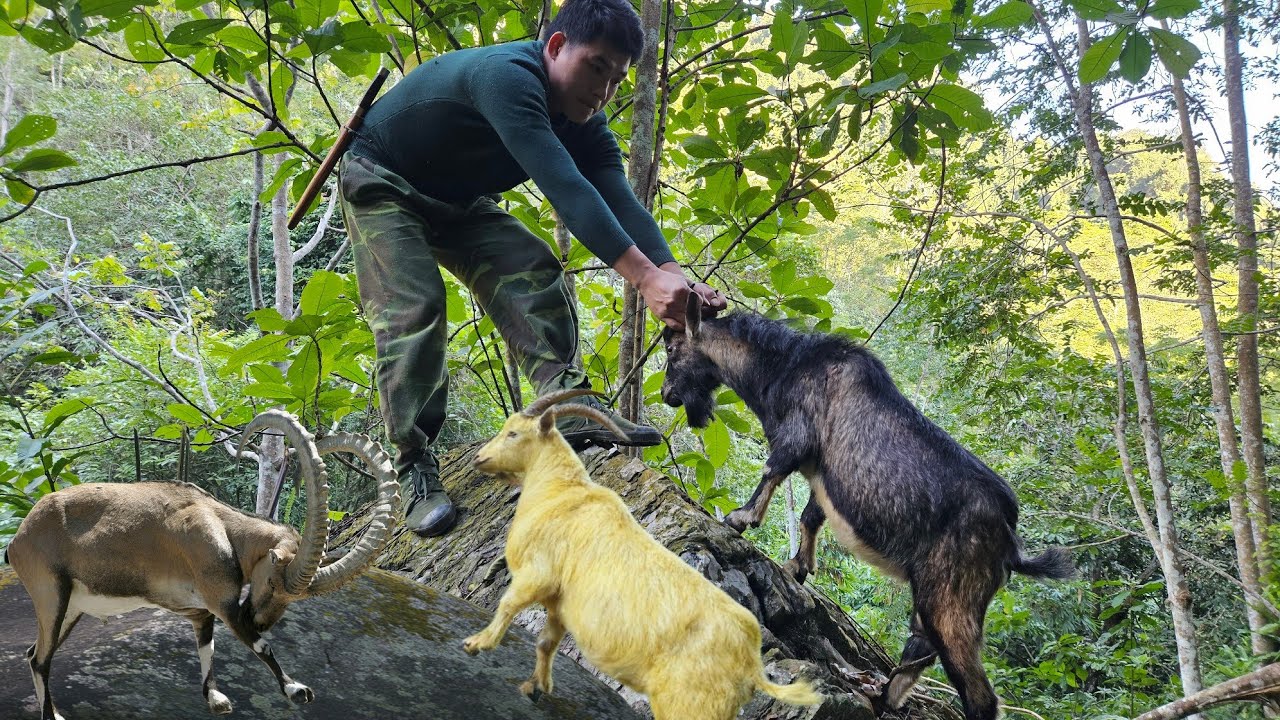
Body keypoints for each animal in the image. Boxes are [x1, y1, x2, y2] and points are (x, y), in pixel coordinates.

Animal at [4, 410, 400, 720]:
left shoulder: (200, 609)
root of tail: (19, 537)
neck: (224, 528)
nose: (259, 619)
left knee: (32, 654)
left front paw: (215, 698)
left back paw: (55, 710)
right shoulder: (225, 603)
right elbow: (261, 646)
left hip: (72, 607)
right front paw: (296, 690)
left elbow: (207, 644)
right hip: (50, 592)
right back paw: (50, 715)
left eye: (294, 599)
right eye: (273, 581)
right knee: (41, 658)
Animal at [462, 388, 823, 720]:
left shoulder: (537, 574)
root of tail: (752, 666)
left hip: (687, 706)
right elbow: (546, 642)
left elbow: (508, 604)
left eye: (513, 433)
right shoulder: (557, 604)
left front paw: (477, 644)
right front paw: (535, 688)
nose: (479, 458)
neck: (562, 491)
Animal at [659, 295, 1073, 720]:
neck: (784, 364)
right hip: (934, 597)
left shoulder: (798, 435)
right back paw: (882, 695)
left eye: (672, 350)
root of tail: (1010, 544)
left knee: (978, 694)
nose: (666, 394)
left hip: (952, 600)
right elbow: (811, 516)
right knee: (920, 648)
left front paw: (742, 518)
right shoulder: (823, 475)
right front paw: (799, 567)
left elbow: (772, 470)